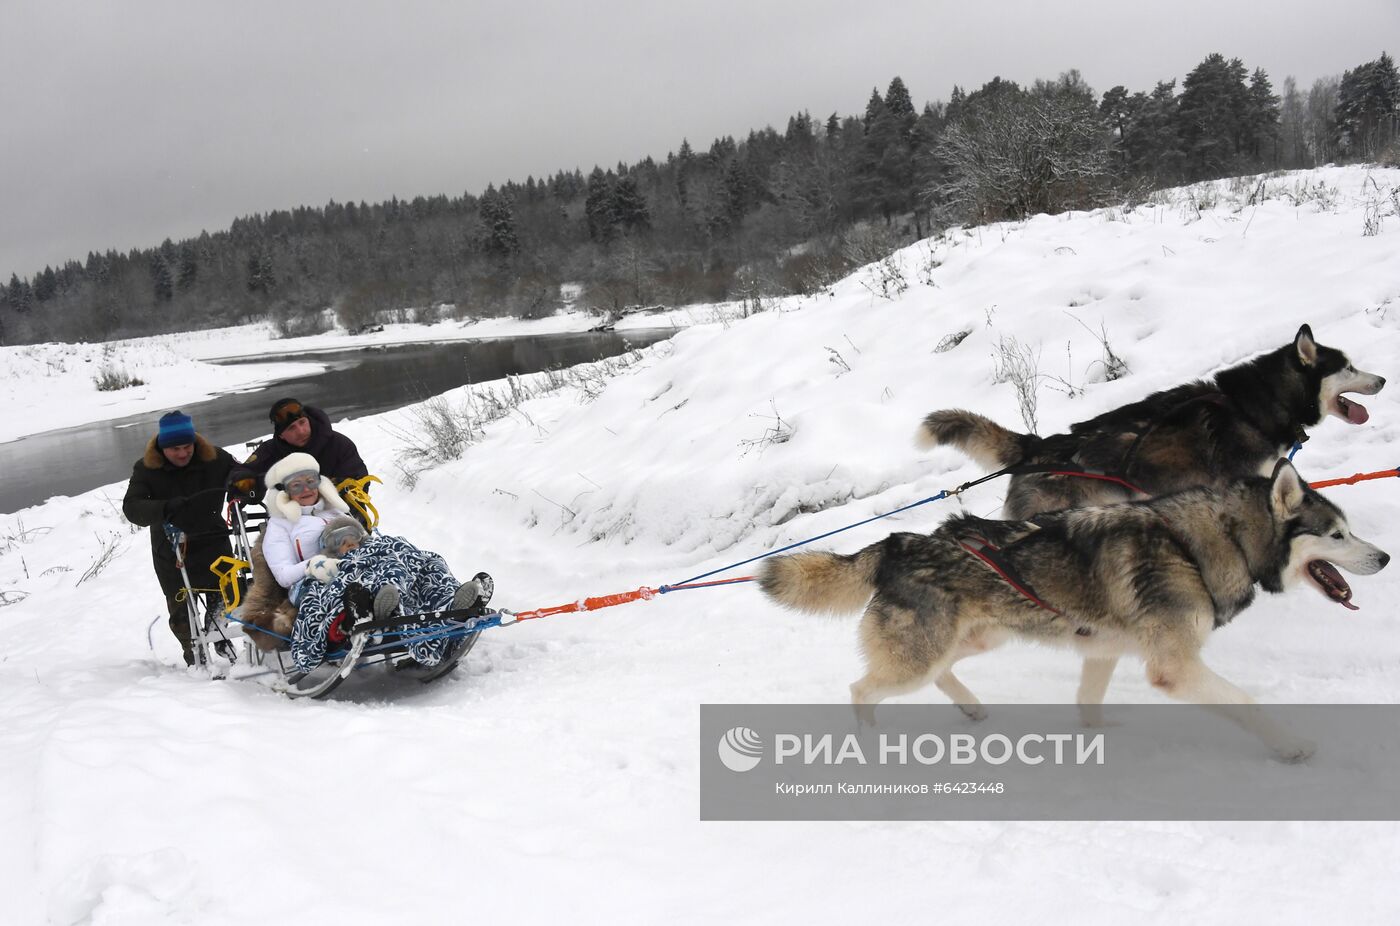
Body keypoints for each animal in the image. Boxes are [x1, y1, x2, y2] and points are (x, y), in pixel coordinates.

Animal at [767, 462, 1388, 756]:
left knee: (941, 675)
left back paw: (971, 707)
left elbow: (1088, 703)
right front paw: (1292, 747)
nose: (1383, 557)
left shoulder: (1106, 650)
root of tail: (899, 542)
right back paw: (870, 739)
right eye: (1336, 535)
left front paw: (1100, 731)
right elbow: (1247, 704)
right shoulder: (1175, 666)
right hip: (921, 655)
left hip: (977, 638)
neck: (1201, 546)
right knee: (862, 690)